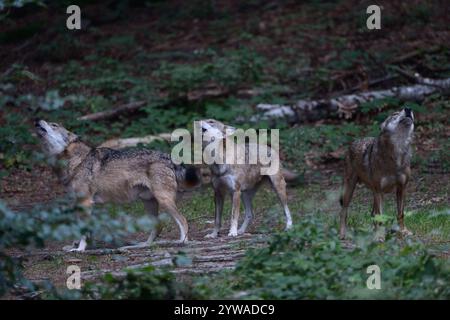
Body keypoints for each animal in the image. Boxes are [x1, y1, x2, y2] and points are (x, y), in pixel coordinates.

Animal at [33, 120, 199, 252]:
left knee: (183, 221)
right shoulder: (80, 204)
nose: (37, 120)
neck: (75, 161)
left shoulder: (85, 203)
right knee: (158, 228)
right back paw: (142, 245)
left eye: (54, 125)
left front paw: (80, 249)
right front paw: (78, 245)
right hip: (149, 203)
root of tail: (168, 157)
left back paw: (182, 242)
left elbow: (84, 232)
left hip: (163, 201)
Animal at [342, 109, 414, 239]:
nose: (408, 109)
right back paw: (342, 234)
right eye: (394, 114)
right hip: (349, 190)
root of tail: (354, 141)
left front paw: (403, 231)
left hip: (374, 194)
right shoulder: (379, 191)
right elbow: (380, 217)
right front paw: (380, 237)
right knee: (343, 212)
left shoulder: (402, 188)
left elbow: (400, 214)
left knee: (372, 214)